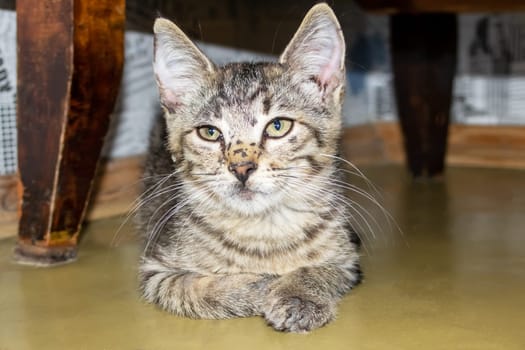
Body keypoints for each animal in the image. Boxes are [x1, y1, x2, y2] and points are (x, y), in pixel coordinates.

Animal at [137, 2, 362, 332]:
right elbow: (196, 289)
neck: (262, 230)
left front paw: (298, 294)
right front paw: (263, 285)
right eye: (210, 132)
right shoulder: (156, 271)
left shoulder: (348, 259)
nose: (241, 168)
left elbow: (322, 268)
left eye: (278, 126)